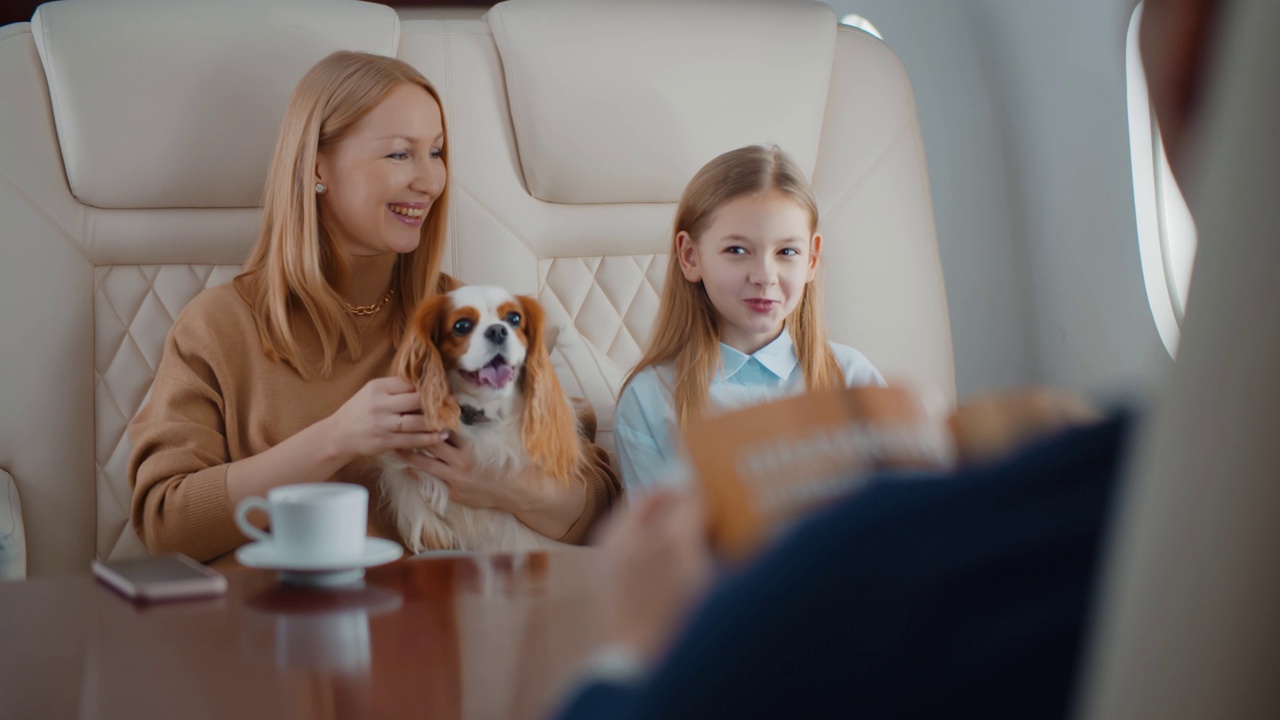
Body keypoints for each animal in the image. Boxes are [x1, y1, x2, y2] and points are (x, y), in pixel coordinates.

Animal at [373, 284, 586, 548]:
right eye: (462, 325)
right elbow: (404, 483)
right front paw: (433, 529)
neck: (482, 411)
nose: (497, 330)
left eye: (514, 319)